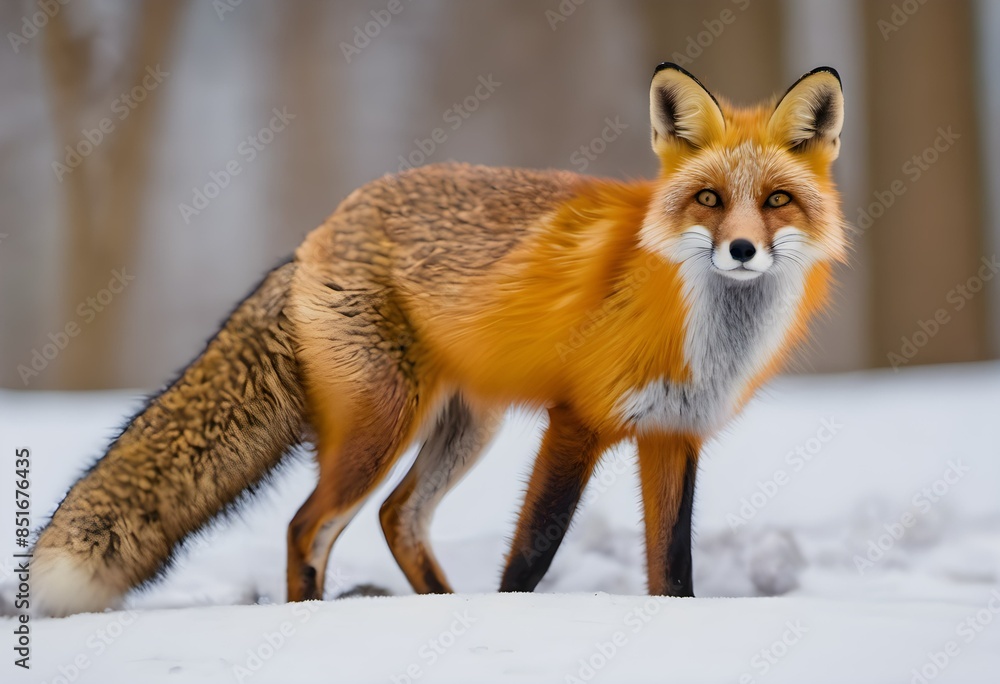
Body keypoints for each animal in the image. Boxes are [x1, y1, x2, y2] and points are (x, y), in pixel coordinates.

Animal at [30, 63, 846, 616]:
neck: (697, 328)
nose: (741, 250)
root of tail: (317, 234)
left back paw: (439, 606)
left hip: (464, 428)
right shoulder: (575, 424)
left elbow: (673, 575)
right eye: (709, 198)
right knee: (307, 528)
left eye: (777, 200)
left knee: (397, 518)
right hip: (380, 426)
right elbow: (532, 554)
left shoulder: (673, 435)